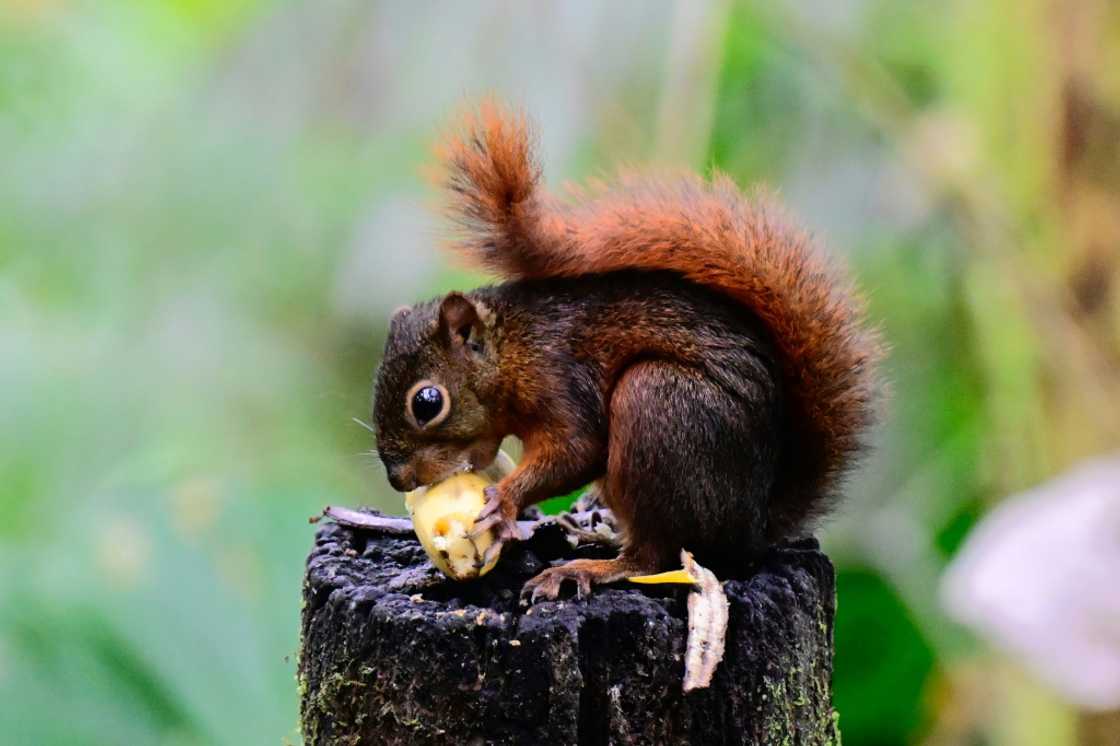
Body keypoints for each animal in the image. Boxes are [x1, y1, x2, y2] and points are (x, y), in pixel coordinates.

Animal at [376, 101, 882, 600]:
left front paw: (504, 501)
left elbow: (576, 449)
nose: (398, 479)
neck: (514, 347)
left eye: (427, 403)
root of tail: (753, 527)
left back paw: (587, 568)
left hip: (656, 405)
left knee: (653, 556)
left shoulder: (560, 377)